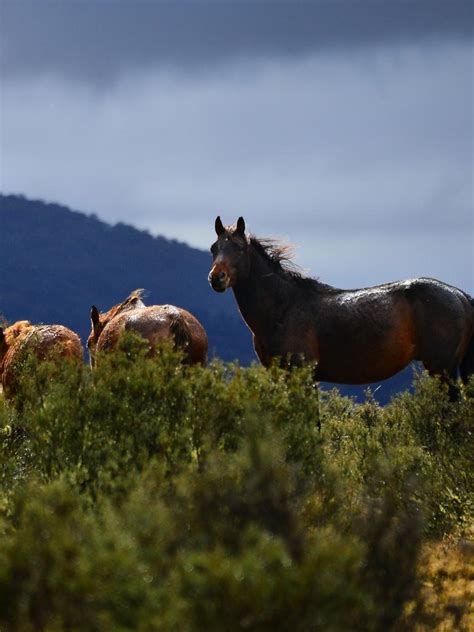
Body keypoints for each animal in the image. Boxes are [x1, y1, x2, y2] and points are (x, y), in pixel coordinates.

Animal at [208, 215, 474, 398]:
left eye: (239, 248)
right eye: (214, 248)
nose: (216, 278)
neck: (284, 307)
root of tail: (459, 295)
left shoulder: (303, 375)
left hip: (443, 370)